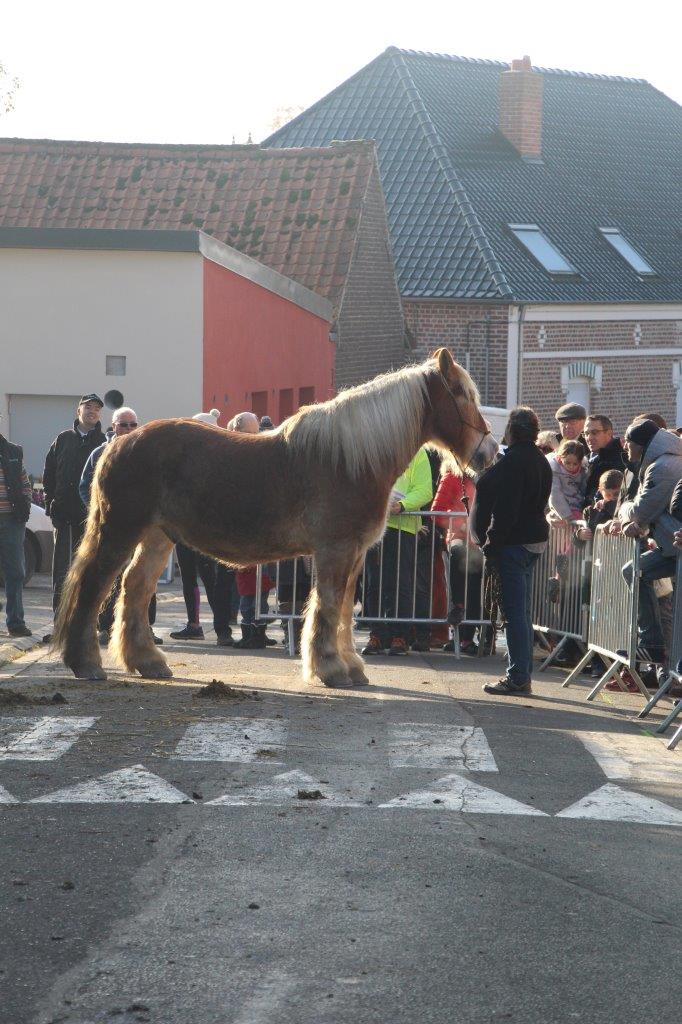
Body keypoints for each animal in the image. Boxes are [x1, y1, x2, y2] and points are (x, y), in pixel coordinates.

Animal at [54, 348, 493, 692]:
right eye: (461, 394)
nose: (488, 452)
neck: (351, 459)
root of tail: (117, 443)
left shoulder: (355, 555)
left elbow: (344, 609)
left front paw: (351, 666)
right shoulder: (335, 551)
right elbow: (328, 606)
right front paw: (330, 668)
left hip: (158, 536)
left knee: (135, 587)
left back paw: (148, 662)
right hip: (120, 532)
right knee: (94, 586)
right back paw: (87, 664)